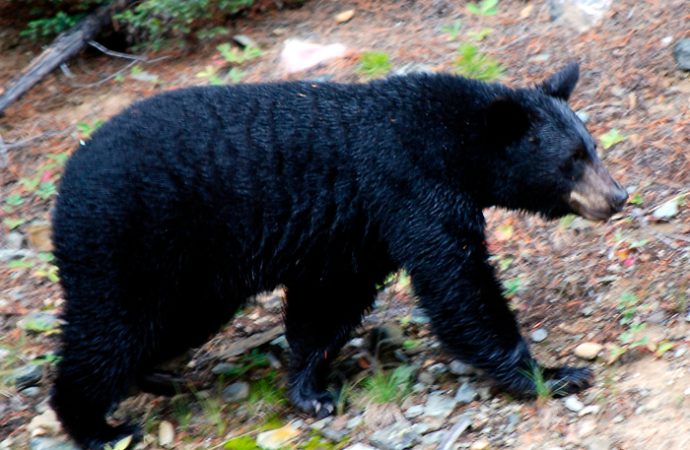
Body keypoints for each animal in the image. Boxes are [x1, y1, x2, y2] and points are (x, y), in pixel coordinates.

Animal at [50, 62, 627, 449]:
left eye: (592, 146)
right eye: (572, 160)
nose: (618, 196)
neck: (454, 143)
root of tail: (68, 176)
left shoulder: (359, 230)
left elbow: (328, 304)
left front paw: (310, 391)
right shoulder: (411, 187)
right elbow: (459, 286)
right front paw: (552, 374)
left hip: (193, 275)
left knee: (171, 324)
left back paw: (156, 377)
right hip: (127, 240)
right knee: (110, 330)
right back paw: (98, 426)